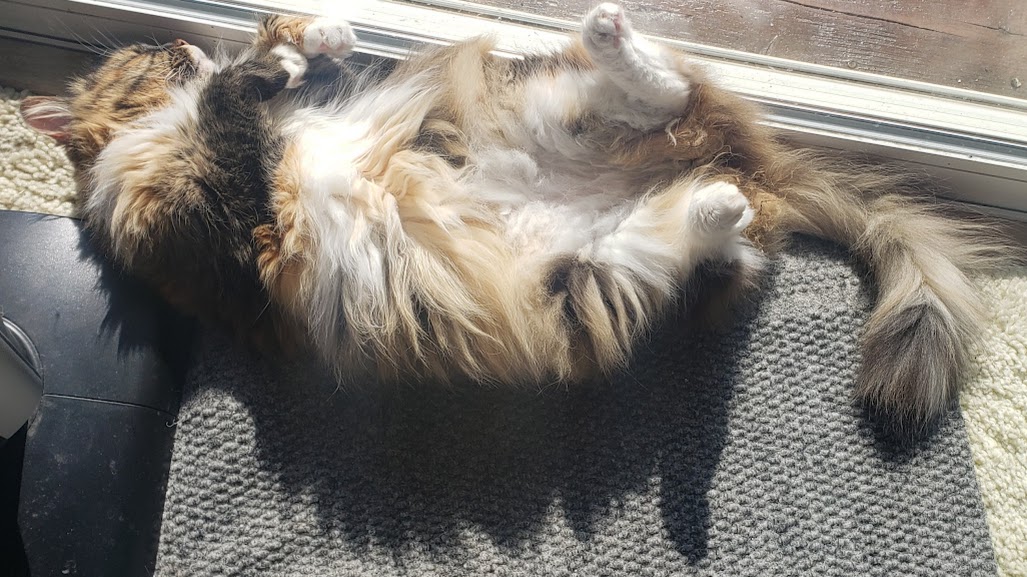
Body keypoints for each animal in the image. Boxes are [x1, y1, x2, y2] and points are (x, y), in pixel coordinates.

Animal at [21, 4, 1009, 427]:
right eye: (143, 57)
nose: (176, 39)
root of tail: (747, 167)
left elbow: (276, 61)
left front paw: (314, 38)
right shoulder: (205, 213)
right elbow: (233, 101)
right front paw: (261, 64)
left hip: (560, 110)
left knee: (665, 95)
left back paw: (614, 39)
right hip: (589, 283)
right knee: (714, 244)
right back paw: (712, 205)